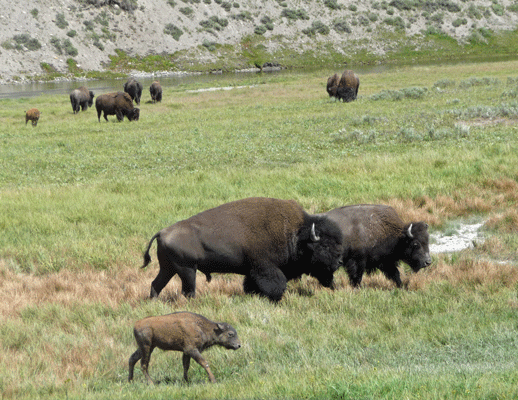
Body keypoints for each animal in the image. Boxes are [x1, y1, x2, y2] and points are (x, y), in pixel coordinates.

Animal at [141, 195, 346, 302]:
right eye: (324, 245)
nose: (339, 261)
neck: (295, 234)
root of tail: (162, 232)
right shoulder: (265, 268)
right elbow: (276, 285)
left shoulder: (252, 270)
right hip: (187, 270)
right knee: (187, 290)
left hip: (168, 268)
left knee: (156, 284)